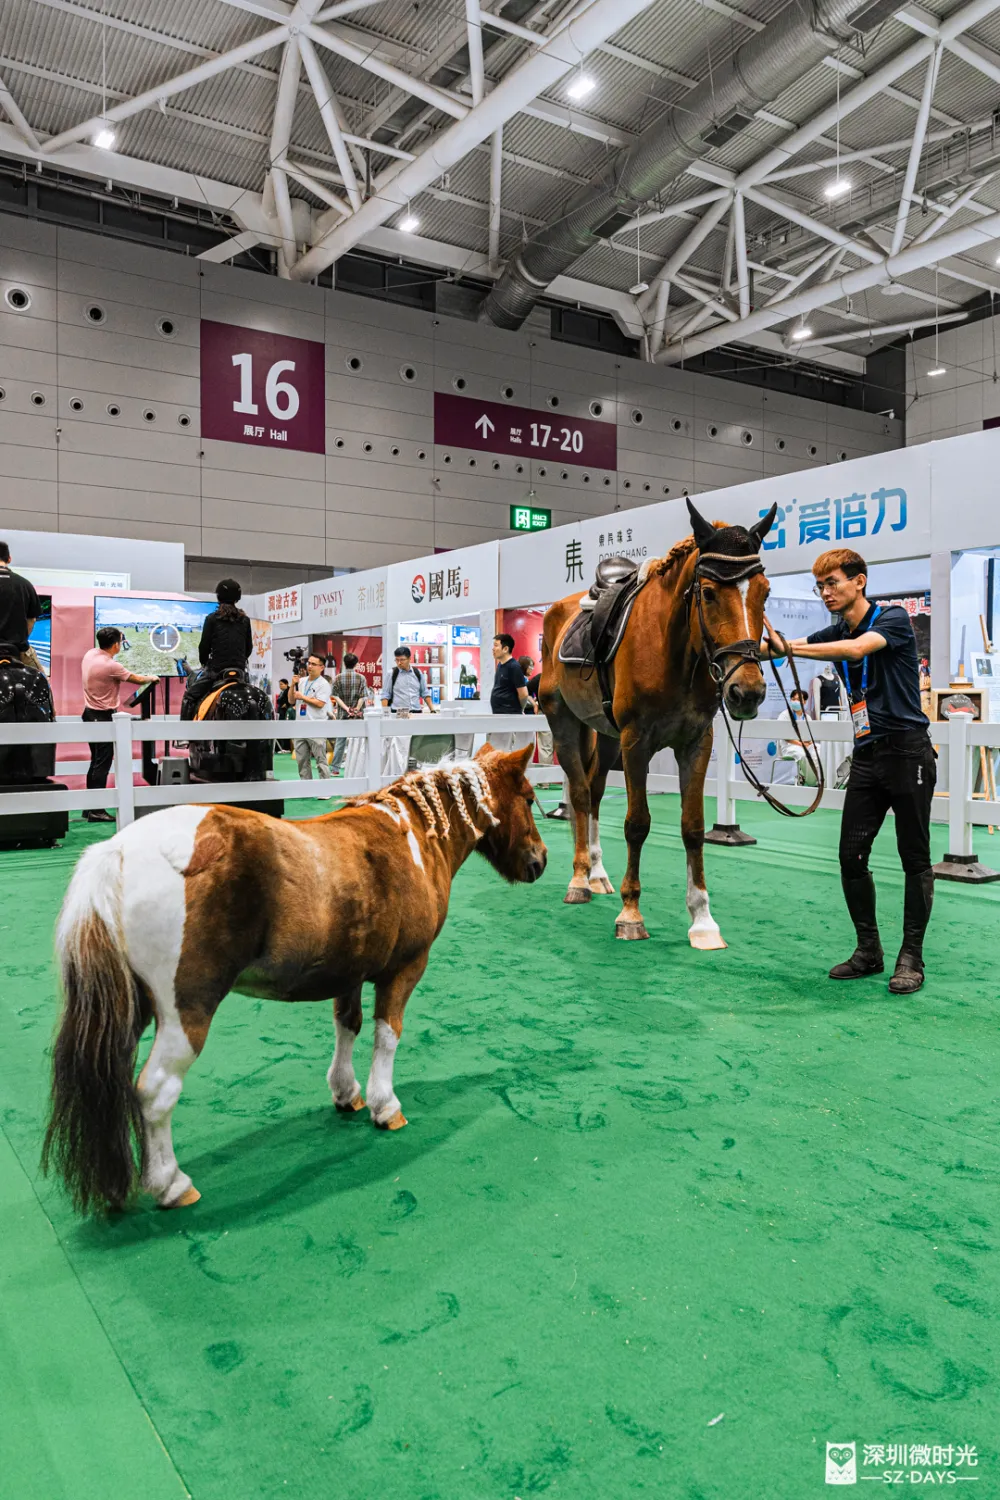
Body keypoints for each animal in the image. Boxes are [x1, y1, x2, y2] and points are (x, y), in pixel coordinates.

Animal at [43, 744, 548, 1212]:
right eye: (527, 797)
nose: (540, 860)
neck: (412, 837)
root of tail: (117, 851)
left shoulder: (350, 972)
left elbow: (348, 1026)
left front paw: (347, 1094)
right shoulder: (405, 968)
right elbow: (387, 1035)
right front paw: (386, 1106)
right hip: (186, 1014)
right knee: (155, 1092)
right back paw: (172, 1184)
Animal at [542, 504, 779, 948]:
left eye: (765, 592)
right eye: (708, 593)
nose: (747, 692)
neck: (676, 650)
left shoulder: (697, 742)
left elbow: (693, 827)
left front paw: (703, 920)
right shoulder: (636, 742)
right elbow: (637, 824)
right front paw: (630, 913)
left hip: (605, 735)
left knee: (594, 793)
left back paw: (597, 874)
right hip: (563, 723)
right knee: (579, 796)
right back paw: (580, 880)